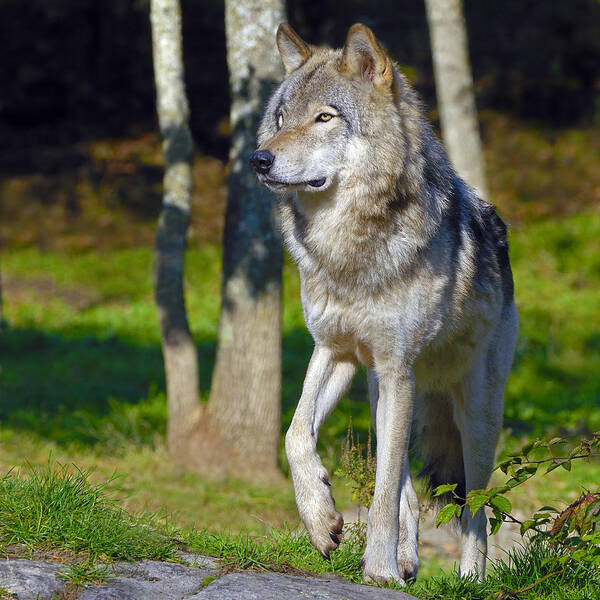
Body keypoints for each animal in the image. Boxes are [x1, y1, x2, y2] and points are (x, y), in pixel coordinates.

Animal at [251, 23, 516, 584]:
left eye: (324, 117)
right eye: (281, 118)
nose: (259, 159)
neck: (348, 250)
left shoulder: (396, 368)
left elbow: (384, 486)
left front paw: (379, 571)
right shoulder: (335, 351)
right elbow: (295, 435)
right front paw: (322, 522)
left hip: (474, 415)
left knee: (476, 508)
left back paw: (468, 581)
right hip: (382, 390)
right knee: (407, 489)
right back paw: (410, 557)